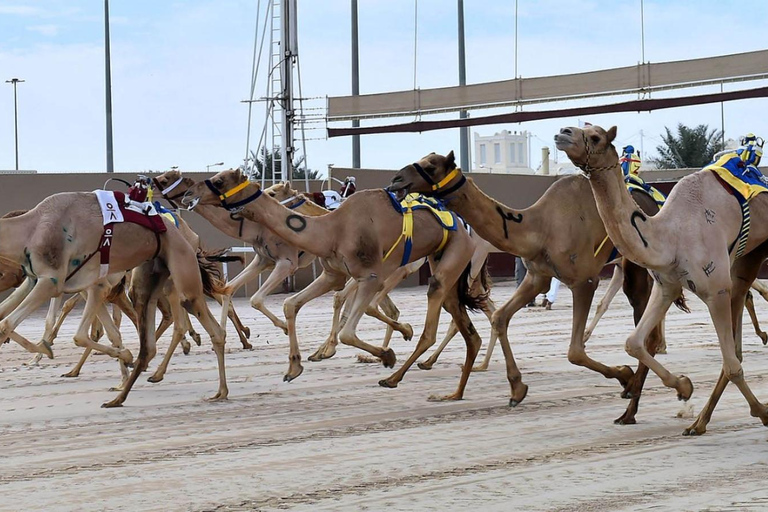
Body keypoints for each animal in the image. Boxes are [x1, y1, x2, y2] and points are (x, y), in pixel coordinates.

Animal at [0, 190, 226, 406]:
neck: (31, 229)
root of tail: (190, 234)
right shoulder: (36, 280)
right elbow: (5, 319)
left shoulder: (57, 281)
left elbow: (77, 334)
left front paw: (45, 350)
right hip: (151, 276)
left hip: (180, 271)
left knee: (206, 322)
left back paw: (217, 390)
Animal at [182, 169, 486, 400]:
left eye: (220, 180)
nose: (188, 193)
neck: (332, 229)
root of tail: (464, 226)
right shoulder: (333, 274)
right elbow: (290, 303)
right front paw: (295, 367)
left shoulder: (367, 276)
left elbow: (348, 329)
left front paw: (383, 354)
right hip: (442, 266)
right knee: (462, 321)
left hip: (442, 262)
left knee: (429, 322)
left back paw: (395, 373)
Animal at [388, 150, 668, 422]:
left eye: (432, 165)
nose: (396, 179)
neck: (540, 226)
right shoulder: (537, 276)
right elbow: (500, 317)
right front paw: (517, 389)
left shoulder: (585, 281)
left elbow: (575, 352)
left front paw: (624, 374)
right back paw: (632, 406)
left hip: (635, 265)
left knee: (644, 325)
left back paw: (632, 403)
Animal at [556, 123, 768, 432]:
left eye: (596, 136)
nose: (563, 131)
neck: (670, 235)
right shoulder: (666, 285)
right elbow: (634, 342)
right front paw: (683, 386)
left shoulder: (715, 290)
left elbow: (732, 364)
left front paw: (762, 412)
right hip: (747, 260)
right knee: (743, 307)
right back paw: (698, 422)